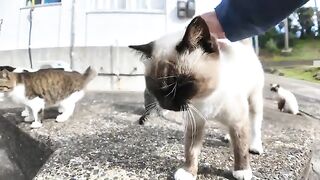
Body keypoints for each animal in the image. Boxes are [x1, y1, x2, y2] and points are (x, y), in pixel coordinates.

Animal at [129, 15, 264, 180]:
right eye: (154, 85)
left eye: (180, 83)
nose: (166, 104)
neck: (204, 98)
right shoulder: (195, 123)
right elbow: (191, 151)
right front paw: (188, 172)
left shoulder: (238, 120)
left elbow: (240, 147)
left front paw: (242, 170)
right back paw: (227, 137)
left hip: (254, 102)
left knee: (255, 125)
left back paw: (255, 146)